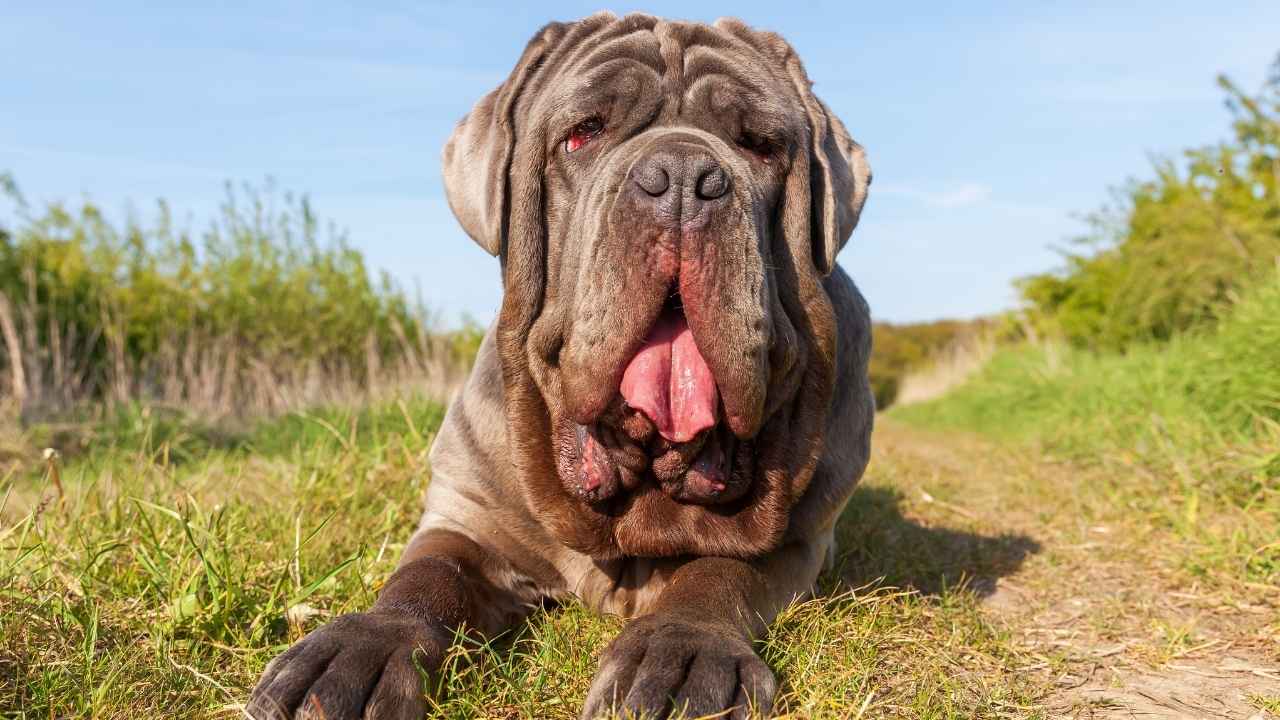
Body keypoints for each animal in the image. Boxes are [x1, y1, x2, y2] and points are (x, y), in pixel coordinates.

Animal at [247, 12, 870, 717]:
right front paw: (360, 649)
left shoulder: (795, 541)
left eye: (761, 146)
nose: (684, 177)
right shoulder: (467, 513)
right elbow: (427, 577)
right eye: (583, 134)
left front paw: (682, 656)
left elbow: (718, 572)